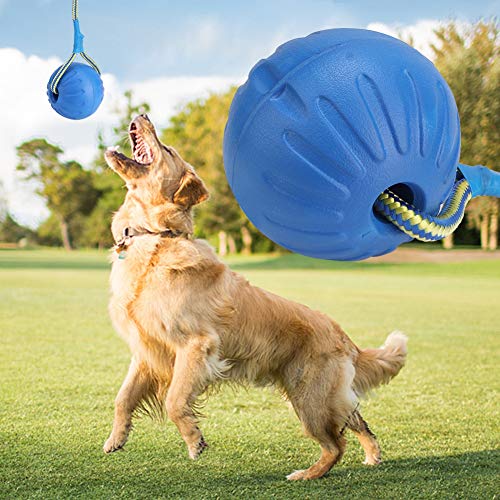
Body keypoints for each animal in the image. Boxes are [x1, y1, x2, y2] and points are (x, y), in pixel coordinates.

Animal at [103, 113, 408, 480]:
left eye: (168, 149)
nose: (144, 115)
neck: (156, 237)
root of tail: (344, 337)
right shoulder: (146, 351)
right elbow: (122, 398)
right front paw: (116, 438)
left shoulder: (196, 346)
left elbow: (174, 400)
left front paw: (194, 440)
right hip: (321, 396)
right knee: (357, 421)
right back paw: (372, 456)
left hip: (310, 399)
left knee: (336, 444)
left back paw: (307, 474)